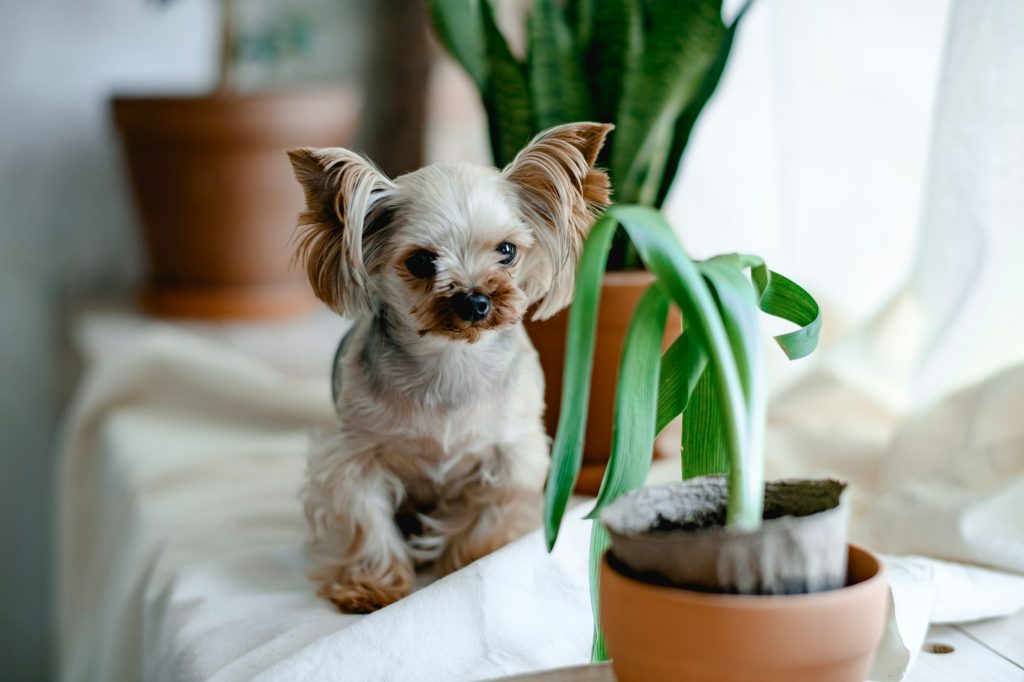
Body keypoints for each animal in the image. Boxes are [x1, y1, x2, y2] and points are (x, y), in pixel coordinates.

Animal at [284, 120, 610, 610]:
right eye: (421, 261)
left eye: (507, 250)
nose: (475, 301)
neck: (451, 359)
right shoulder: (354, 453)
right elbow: (364, 517)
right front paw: (369, 585)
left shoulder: (512, 453)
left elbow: (490, 515)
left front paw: (470, 562)